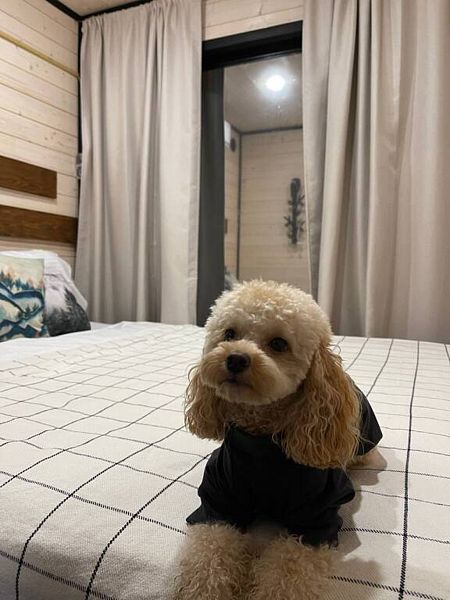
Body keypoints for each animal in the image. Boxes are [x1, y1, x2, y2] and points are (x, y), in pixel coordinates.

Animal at [174, 280, 382, 600]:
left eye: (279, 344)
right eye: (229, 334)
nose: (235, 358)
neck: (261, 442)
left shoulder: (314, 522)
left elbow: (288, 571)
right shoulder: (217, 504)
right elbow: (208, 555)